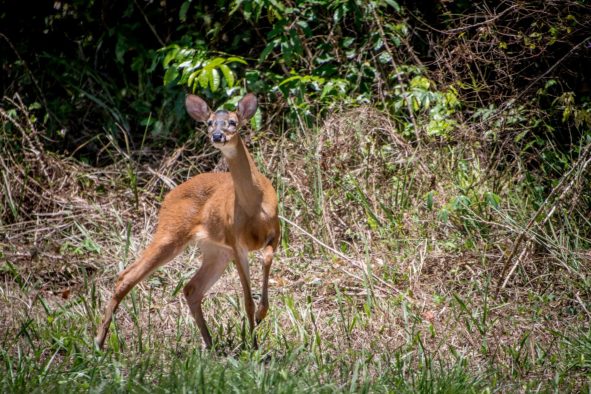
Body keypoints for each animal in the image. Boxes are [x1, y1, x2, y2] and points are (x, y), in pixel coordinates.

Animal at [96, 94, 280, 350]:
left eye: (233, 122)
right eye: (210, 123)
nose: (217, 136)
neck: (255, 206)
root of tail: (169, 195)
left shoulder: (276, 230)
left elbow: (267, 258)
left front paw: (261, 318)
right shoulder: (236, 243)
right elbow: (247, 300)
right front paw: (253, 343)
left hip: (215, 250)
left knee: (191, 288)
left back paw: (210, 343)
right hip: (170, 233)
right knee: (127, 276)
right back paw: (98, 341)